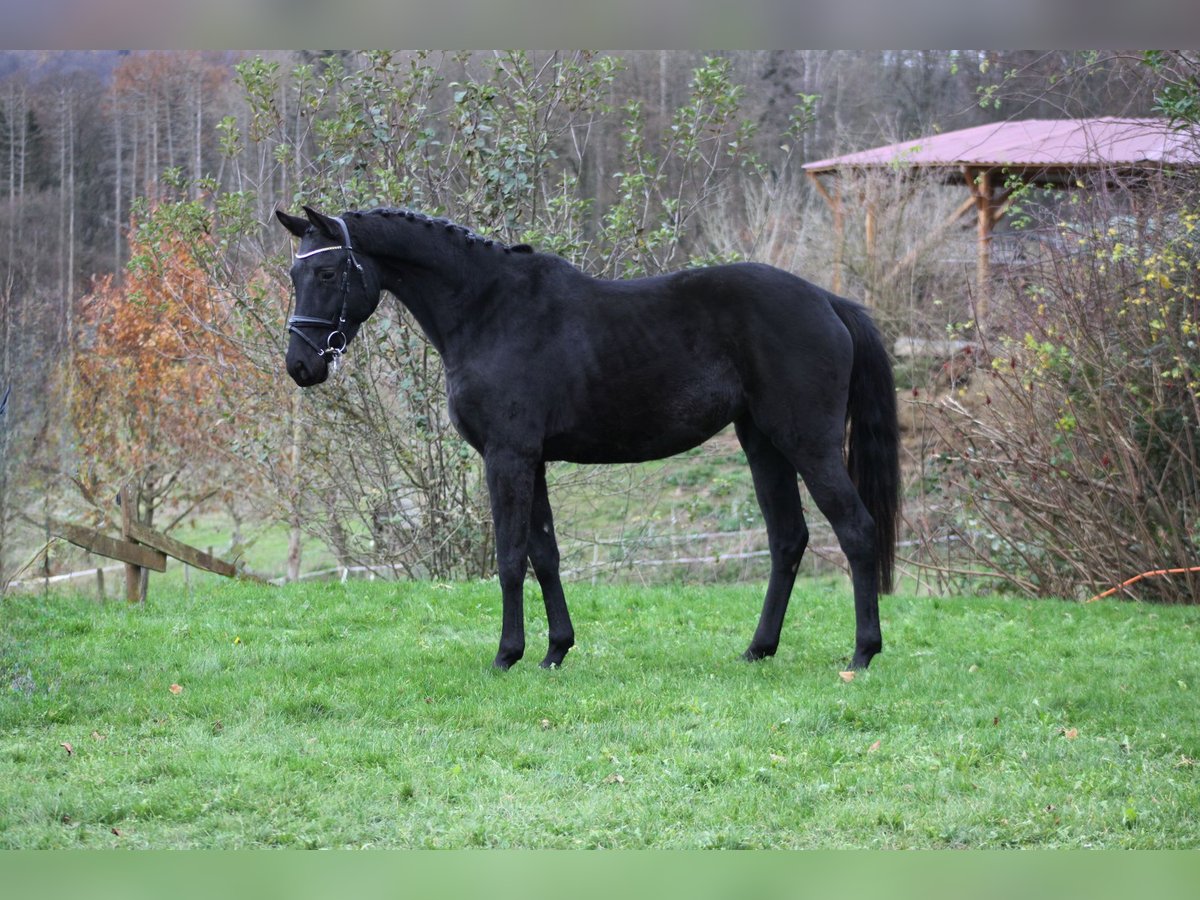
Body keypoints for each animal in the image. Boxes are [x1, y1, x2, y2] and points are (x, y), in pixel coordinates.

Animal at [278, 204, 902, 672]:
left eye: (328, 274)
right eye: (294, 275)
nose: (301, 366)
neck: (488, 309)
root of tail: (827, 301)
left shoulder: (508, 457)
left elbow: (510, 556)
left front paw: (506, 655)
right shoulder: (533, 461)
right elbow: (545, 554)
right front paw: (555, 651)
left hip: (807, 443)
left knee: (855, 529)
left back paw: (863, 653)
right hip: (763, 445)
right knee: (788, 540)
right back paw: (758, 649)